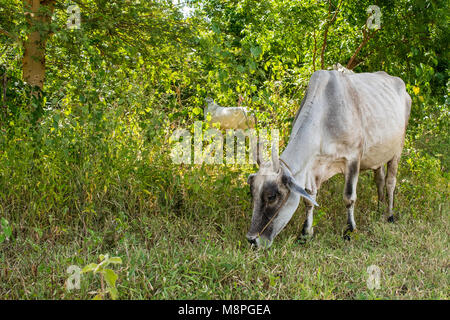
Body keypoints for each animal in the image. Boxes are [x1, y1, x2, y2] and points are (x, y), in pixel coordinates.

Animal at [246, 70, 412, 249]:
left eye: (272, 196)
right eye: (252, 193)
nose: (252, 240)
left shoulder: (353, 158)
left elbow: (349, 197)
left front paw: (349, 230)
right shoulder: (311, 168)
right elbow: (309, 200)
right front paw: (306, 233)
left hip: (397, 151)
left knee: (390, 182)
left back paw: (389, 215)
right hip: (378, 155)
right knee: (379, 179)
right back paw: (379, 209)